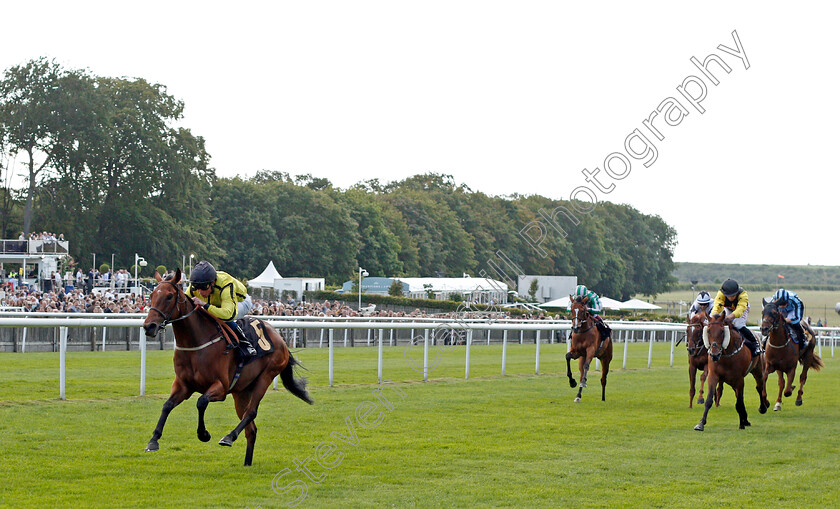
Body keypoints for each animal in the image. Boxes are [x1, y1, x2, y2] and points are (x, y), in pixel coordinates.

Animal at [141, 270, 312, 464]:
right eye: (151, 296)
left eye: (169, 296)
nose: (149, 326)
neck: (195, 344)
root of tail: (280, 339)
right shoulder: (183, 385)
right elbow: (167, 405)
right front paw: (153, 441)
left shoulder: (221, 387)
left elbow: (201, 402)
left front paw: (204, 434)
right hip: (241, 391)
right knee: (251, 429)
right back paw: (246, 463)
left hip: (266, 376)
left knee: (251, 412)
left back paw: (229, 437)